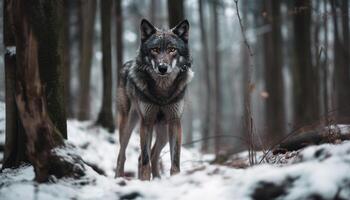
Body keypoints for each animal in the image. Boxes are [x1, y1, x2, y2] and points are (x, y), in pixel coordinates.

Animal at [116, 18, 194, 180]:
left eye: (172, 50)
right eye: (155, 49)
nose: (162, 68)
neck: (162, 91)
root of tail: (126, 64)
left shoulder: (175, 122)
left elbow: (174, 159)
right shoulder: (147, 121)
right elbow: (145, 159)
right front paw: (145, 180)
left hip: (163, 133)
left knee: (151, 155)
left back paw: (157, 179)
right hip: (128, 126)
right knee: (123, 155)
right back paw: (119, 179)